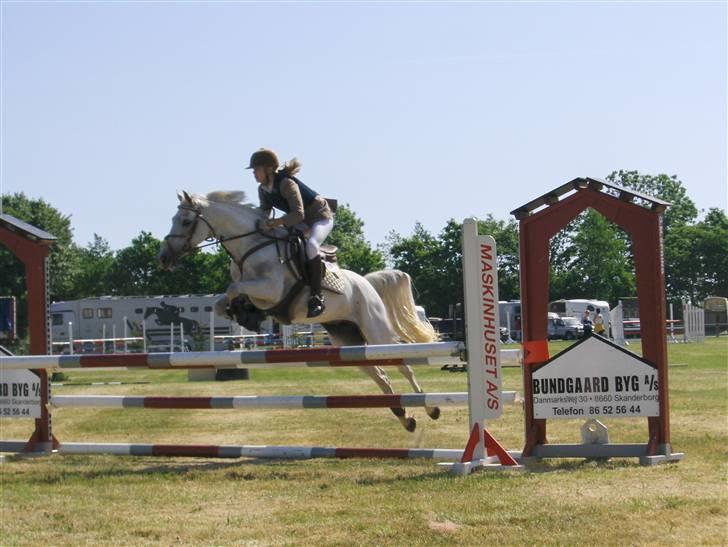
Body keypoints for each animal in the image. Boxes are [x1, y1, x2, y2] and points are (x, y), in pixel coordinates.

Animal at [159, 191, 438, 430]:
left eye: (185, 221)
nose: (163, 258)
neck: (250, 247)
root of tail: (366, 283)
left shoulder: (270, 290)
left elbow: (234, 288)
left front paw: (244, 312)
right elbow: (222, 302)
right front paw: (243, 314)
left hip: (376, 331)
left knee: (403, 367)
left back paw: (429, 407)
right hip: (348, 340)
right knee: (380, 375)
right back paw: (404, 417)